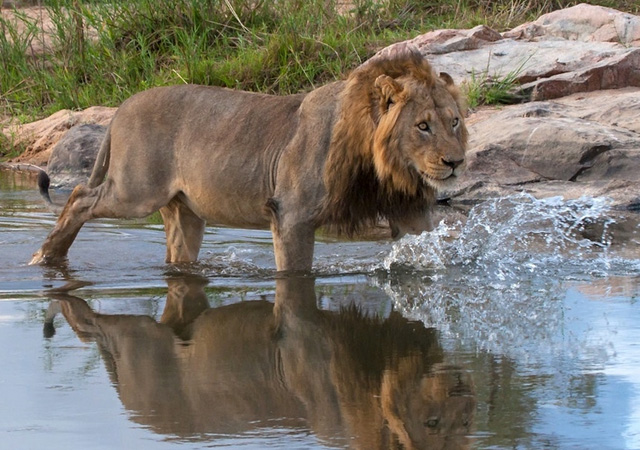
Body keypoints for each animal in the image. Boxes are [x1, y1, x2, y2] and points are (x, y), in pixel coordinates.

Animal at [31, 46, 464, 270]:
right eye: (422, 126)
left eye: (454, 121)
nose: (455, 162)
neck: (383, 167)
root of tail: (121, 106)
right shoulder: (291, 213)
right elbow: (294, 276)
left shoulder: (408, 210)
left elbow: (427, 249)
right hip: (135, 192)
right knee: (80, 197)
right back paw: (45, 257)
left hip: (182, 209)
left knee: (177, 251)